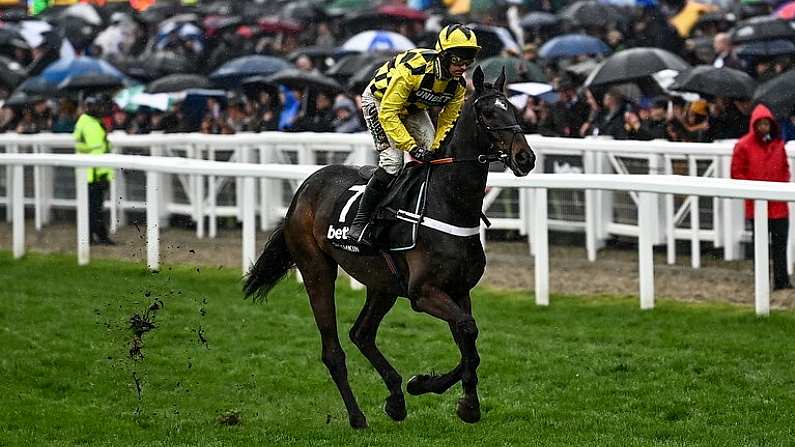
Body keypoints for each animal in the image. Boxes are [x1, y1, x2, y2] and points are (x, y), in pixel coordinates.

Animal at [244, 65, 536, 428]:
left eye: (513, 110)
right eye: (488, 113)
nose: (525, 157)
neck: (447, 202)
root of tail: (304, 189)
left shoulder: (458, 289)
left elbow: (469, 342)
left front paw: (449, 396)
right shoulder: (422, 293)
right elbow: (468, 330)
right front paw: (437, 389)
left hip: (381, 283)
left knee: (362, 333)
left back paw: (396, 397)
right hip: (316, 268)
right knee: (333, 350)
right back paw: (357, 416)